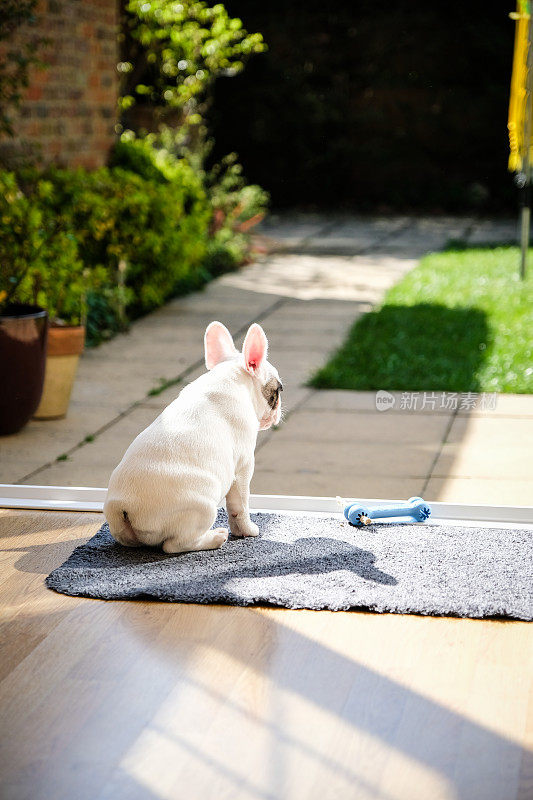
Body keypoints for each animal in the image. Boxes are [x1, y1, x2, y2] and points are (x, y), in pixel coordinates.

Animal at [101, 322, 280, 552]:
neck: (231, 378)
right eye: (277, 391)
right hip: (203, 507)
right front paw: (247, 530)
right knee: (175, 544)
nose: (278, 413)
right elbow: (240, 506)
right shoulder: (243, 468)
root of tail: (124, 508)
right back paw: (215, 537)